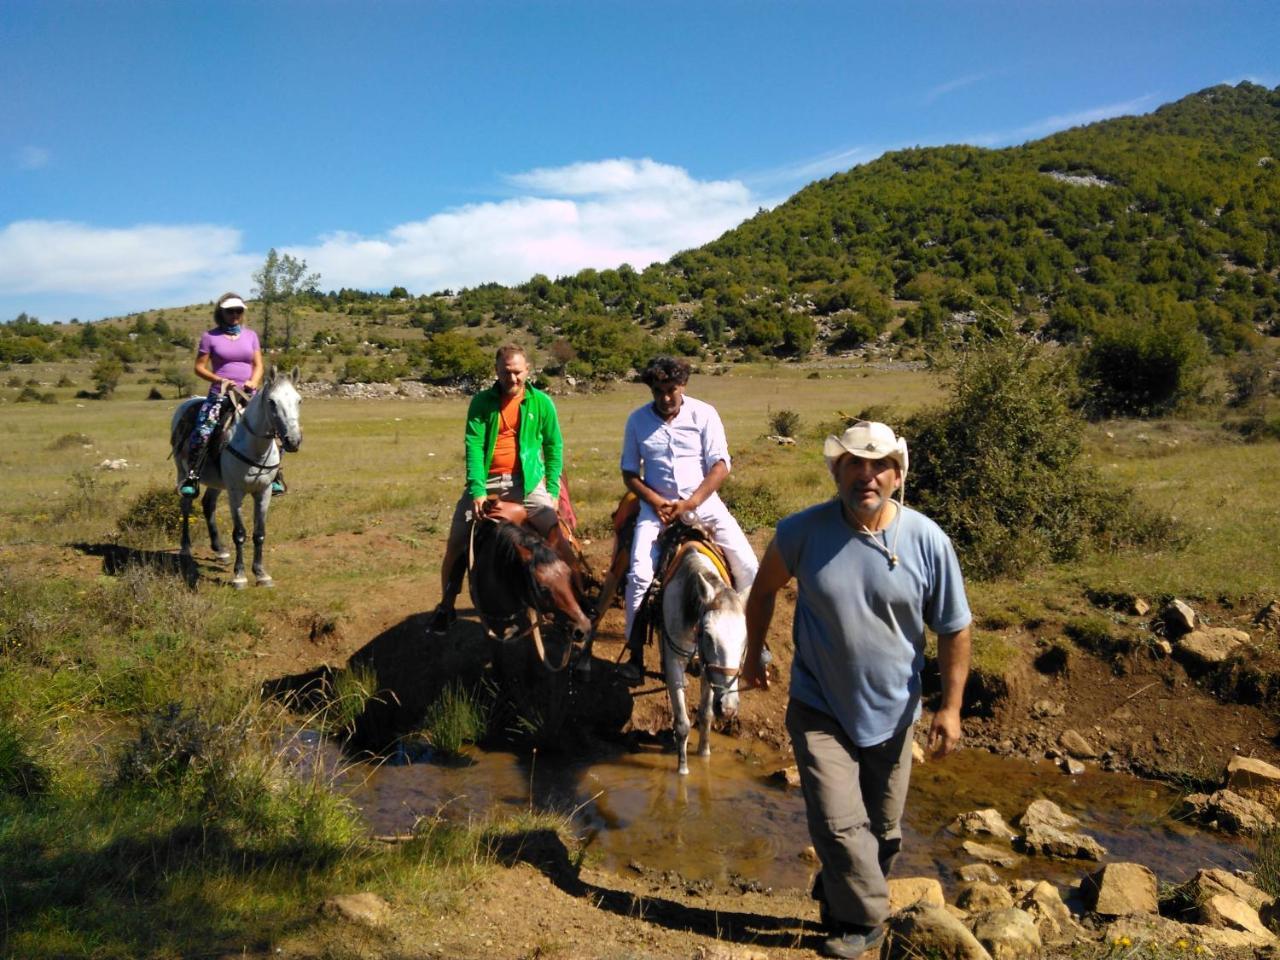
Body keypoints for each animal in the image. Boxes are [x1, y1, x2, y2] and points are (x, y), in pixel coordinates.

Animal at [170, 368, 302, 591]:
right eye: (272, 402)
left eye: (299, 400)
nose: (293, 441)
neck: (254, 448)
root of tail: (188, 402)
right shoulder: (236, 493)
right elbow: (240, 533)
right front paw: (239, 576)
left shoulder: (264, 492)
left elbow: (259, 533)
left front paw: (261, 573)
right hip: (183, 472)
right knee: (186, 505)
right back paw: (185, 548)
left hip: (216, 482)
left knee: (208, 503)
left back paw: (220, 550)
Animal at [660, 545, 747, 778]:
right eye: (708, 635)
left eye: (745, 638)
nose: (728, 708)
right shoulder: (674, 660)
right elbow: (682, 722)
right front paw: (682, 769)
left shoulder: (709, 667)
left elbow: (706, 715)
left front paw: (704, 755)